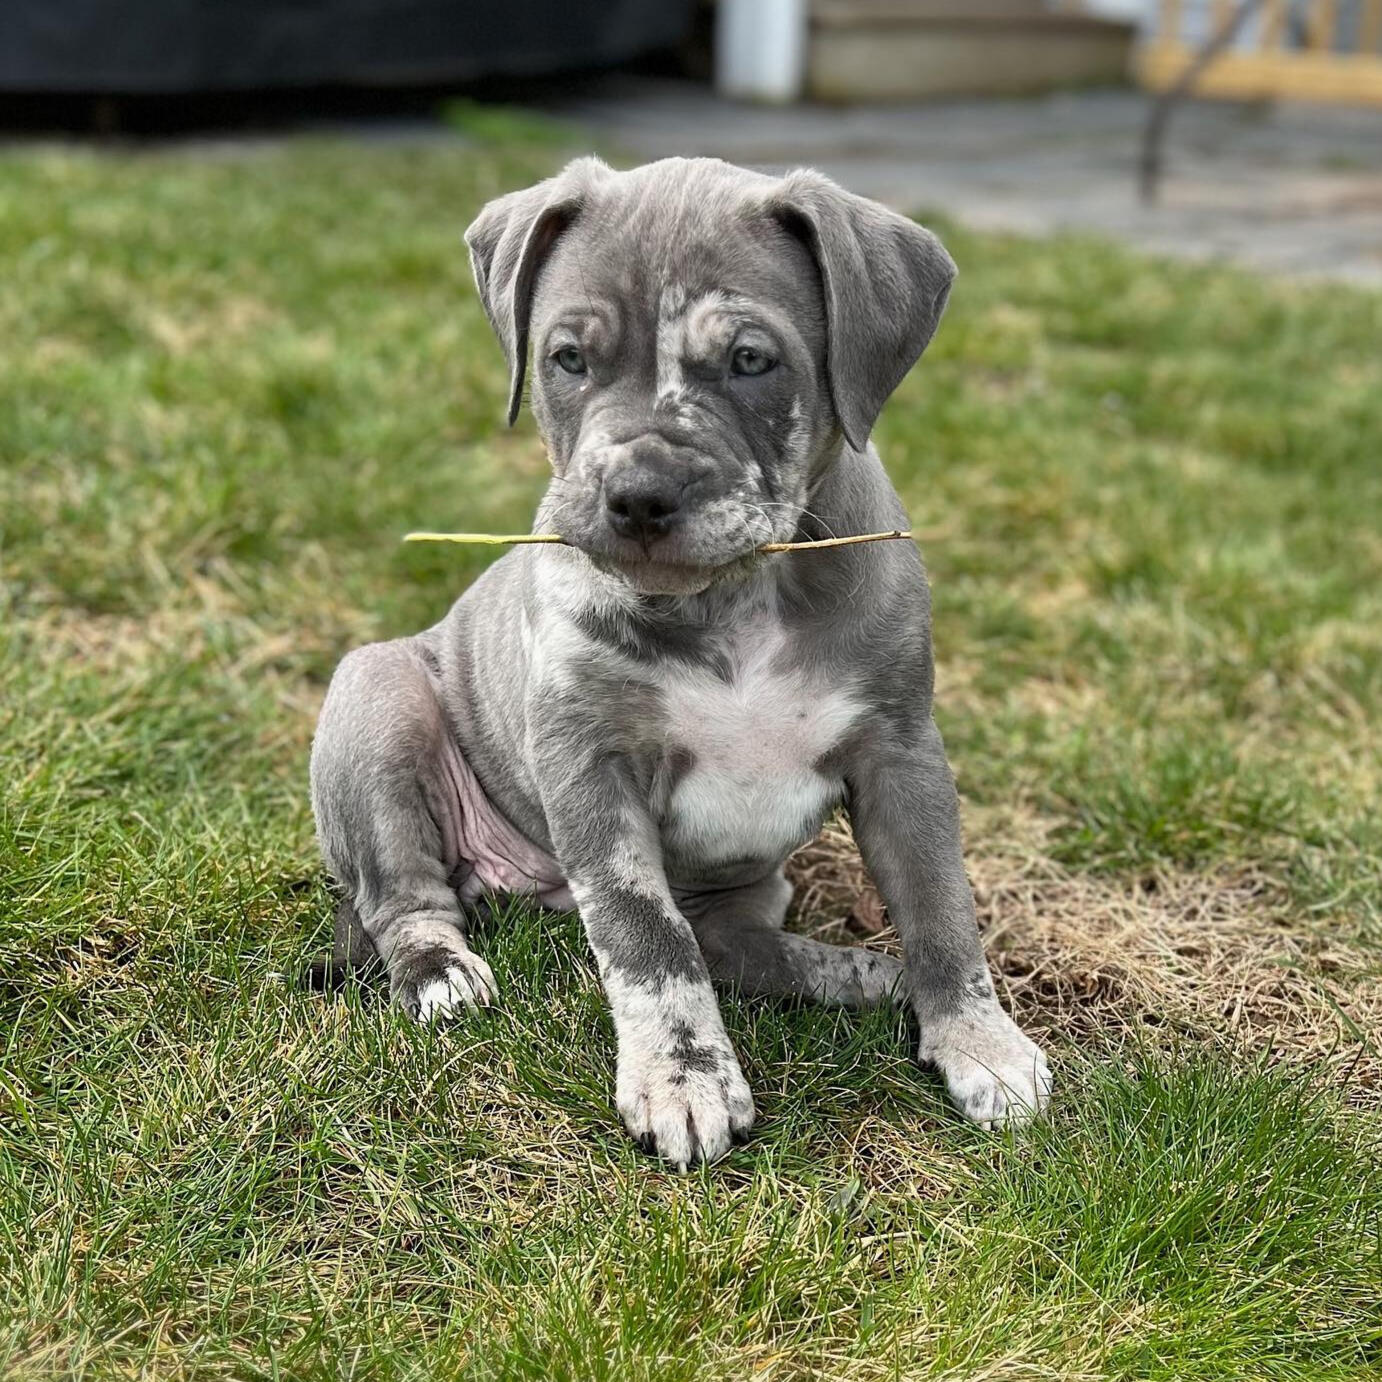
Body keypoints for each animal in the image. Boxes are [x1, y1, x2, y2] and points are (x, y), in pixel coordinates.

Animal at [310, 154, 1044, 1166]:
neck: (732, 595)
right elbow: (647, 938)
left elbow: (940, 907)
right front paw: (683, 1079)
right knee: (405, 898)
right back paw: (439, 973)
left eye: (750, 361)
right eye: (567, 360)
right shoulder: (591, 766)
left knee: (732, 944)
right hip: (375, 702)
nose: (638, 495)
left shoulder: (901, 752)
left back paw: (857, 975)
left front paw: (979, 1040)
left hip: (754, 881)